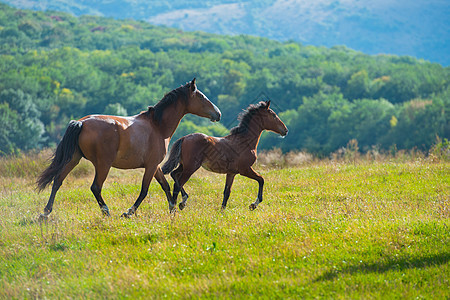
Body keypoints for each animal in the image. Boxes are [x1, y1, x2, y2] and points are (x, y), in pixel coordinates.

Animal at [37, 78, 221, 219]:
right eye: (201, 97)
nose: (218, 114)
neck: (157, 126)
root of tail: (82, 123)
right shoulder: (151, 166)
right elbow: (145, 190)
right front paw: (129, 212)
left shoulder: (155, 166)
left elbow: (165, 185)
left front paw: (173, 209)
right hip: (103, 164)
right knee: (95, 187)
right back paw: (106, 212)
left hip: (74, 159)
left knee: (57, 180)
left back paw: (45, 212)